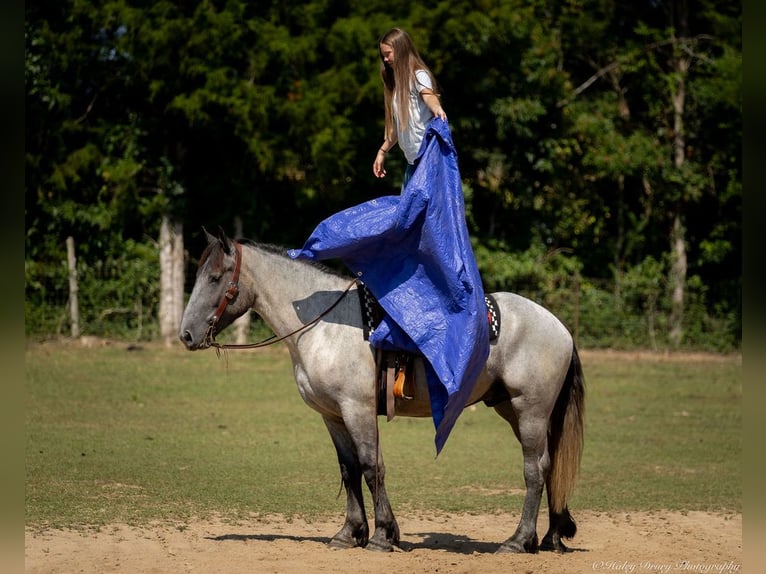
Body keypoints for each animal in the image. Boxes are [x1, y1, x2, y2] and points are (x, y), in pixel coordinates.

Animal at [180, 231, 588, 560]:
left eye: (215, 277)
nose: (186, 335)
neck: (324, 327)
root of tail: (559, 326)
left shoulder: (357, 409)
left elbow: (371, 467)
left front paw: (380, 536)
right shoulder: (332, 415)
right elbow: (349, 469)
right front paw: (352, 533)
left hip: (530, 410)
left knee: (534, 469)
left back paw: (518, 541)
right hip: (516, 410)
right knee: (550, 465)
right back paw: (550, 537)